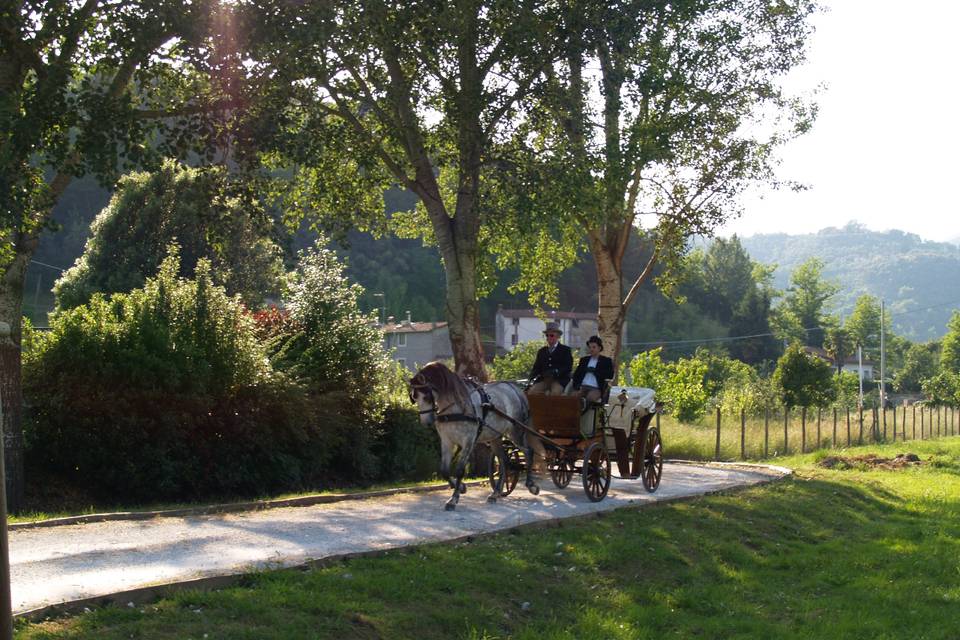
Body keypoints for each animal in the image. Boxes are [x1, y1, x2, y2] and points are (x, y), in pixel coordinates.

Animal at [408, 362, 544, 512]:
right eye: (414, 398)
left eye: (426, 396)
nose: (426, 422)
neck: (456, 406)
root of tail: (515, 389)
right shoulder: (447, 441)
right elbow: (444, 469)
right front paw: (461, 487)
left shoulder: (468, 441)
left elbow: (460, 470)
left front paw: (453, 499)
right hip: (495, 437)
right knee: (504, 460)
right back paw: (495, 493)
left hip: (516, 432)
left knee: (528, 452)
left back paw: (531, 485)